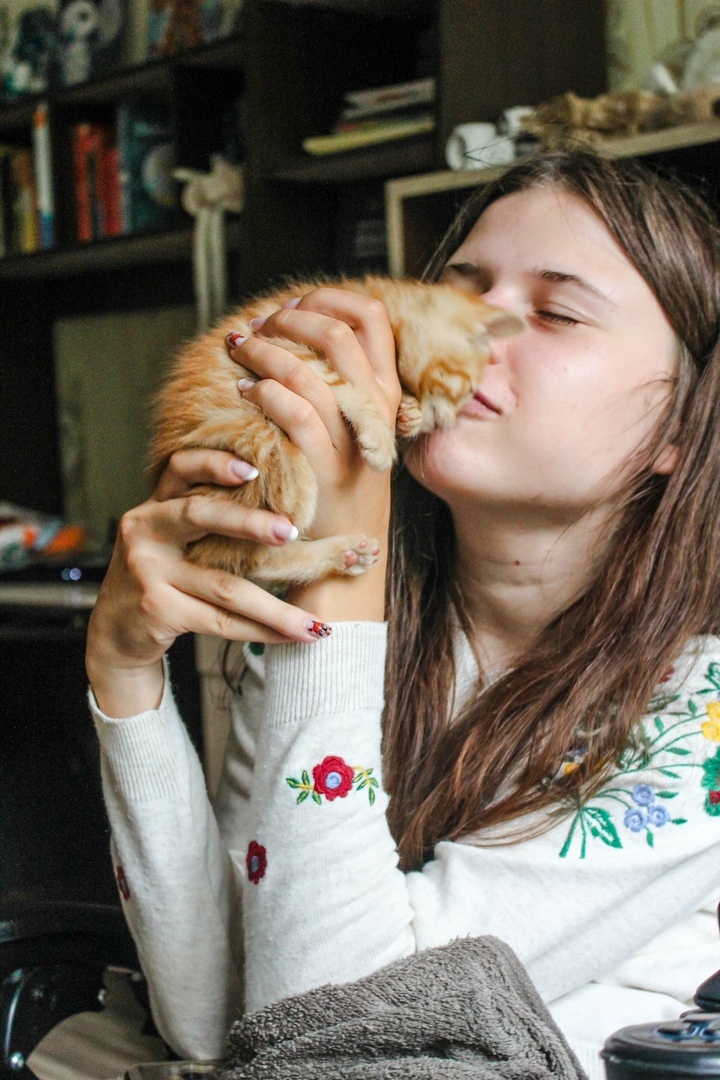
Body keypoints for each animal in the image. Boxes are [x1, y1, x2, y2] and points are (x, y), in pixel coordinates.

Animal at [151, 275, 524, 585]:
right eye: (468, 391)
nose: (444, 424)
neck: (380, 302)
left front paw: (410, 415)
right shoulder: (284, 341)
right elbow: (338, 379)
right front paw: (380, 435)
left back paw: (345, 556)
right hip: (248, 439)